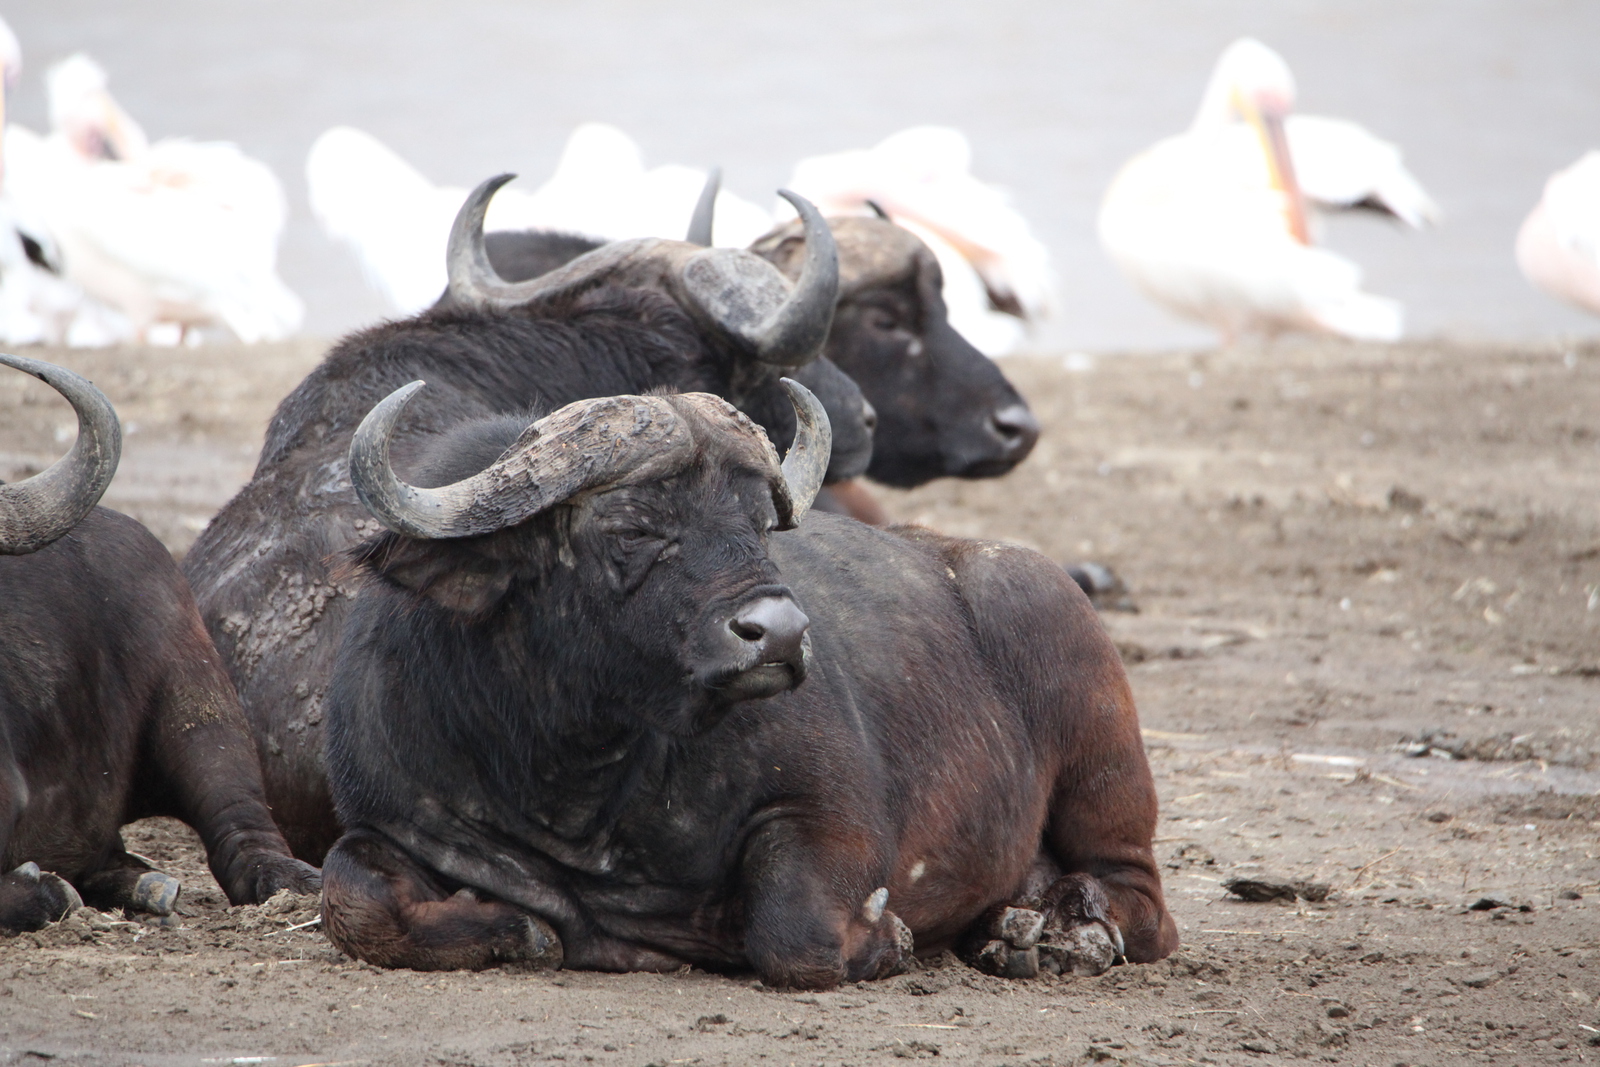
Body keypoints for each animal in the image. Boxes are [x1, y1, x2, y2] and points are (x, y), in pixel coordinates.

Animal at [315, 379, 1177, 991]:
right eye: (632, 529)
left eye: (758, 521)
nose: (783, 633)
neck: (573, 781)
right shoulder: (390, 815)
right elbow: (349, 896)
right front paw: (511, 927)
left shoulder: (836, 814)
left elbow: (797, 933)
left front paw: (887, 936)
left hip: (1101, 750)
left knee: (1144, 900)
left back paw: (1055, 933)